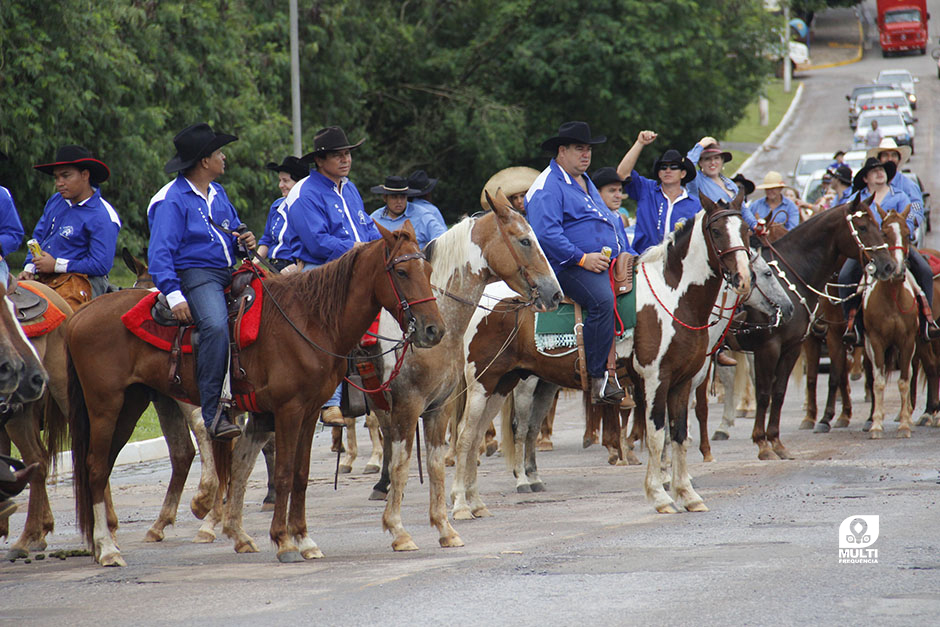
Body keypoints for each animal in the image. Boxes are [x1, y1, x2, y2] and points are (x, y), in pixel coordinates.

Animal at [70, 223, 444, 568]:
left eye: (427, 270)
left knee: (104, 466)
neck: (310, 320)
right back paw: (107, 548)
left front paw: (304, 539)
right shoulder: (288, 411)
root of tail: (81, 315)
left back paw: (106, 543)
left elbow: (300, 474)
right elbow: (282, 471)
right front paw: (284, 541)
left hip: (130, 405)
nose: (434, 330)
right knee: (95, 468)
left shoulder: (309, 412)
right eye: (401, 271)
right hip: (105, 407)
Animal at [216, 190, 560, 556]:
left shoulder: (436, 408)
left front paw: (444, 528)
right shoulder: (406, 407)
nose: (554, 292)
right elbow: (401, 463)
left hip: (261, 411)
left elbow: (434, 464)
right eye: (524, 240)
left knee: (240, 462)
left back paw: (238, 533)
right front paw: (399, 530)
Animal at [452, 193, 752, 520]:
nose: (743, 278)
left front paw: (688, 494)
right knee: (466, 435)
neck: (673, 296)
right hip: (483, 383)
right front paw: (660, 495)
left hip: (502, 383)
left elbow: (679, 434)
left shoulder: (682, 382)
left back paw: (476, 502)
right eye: (717, 232)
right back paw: (461, 504)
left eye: (747, 231)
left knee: (477, 436)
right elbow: (656, 434)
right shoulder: (655, 379)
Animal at [732, 199, 900, 458]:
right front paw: (762, 443)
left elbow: (779, 392)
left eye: (878, 226)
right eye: (862, 227)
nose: (888, 265)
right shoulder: (769, 348)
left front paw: (776, 441)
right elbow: (764, 393)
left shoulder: (793, 346)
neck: (789, 278)